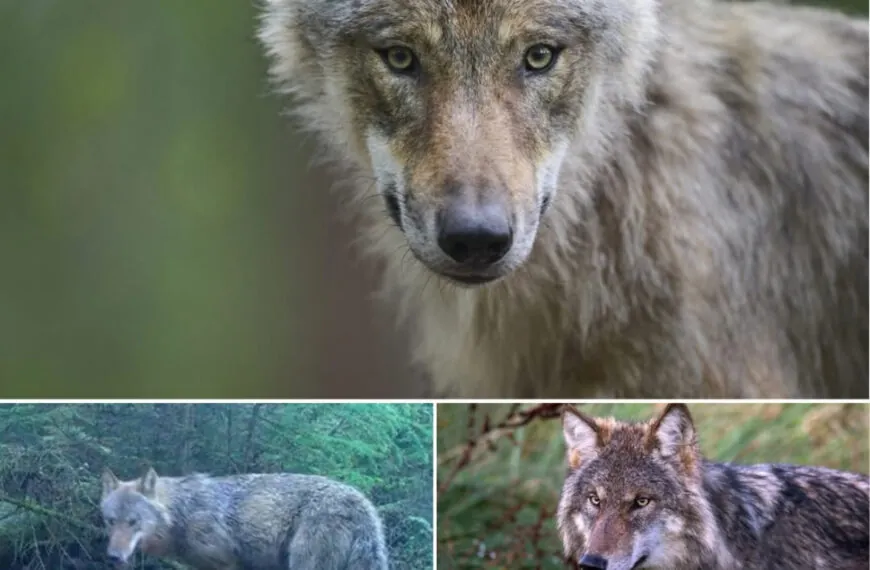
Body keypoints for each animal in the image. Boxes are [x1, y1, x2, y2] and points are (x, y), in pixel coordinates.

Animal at [99, 467, 389, 570]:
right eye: (110, 521)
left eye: (133, 522)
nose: (113, 557)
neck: (183, 514)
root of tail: (362, 504)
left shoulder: (225, 565)